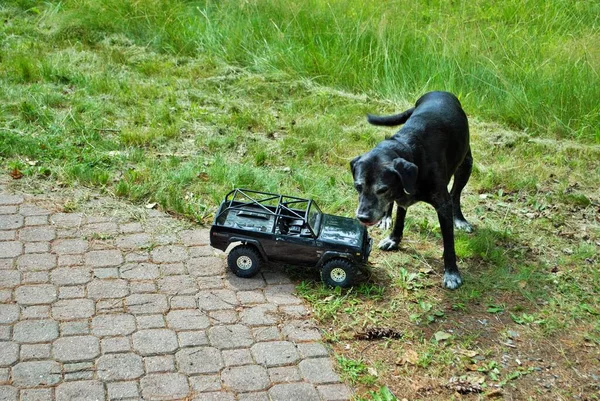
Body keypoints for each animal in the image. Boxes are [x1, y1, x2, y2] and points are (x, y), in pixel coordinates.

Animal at [352, 91, 474, 288]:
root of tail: (439, 91)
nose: (362, 217)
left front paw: (451, 273)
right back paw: (386, 218)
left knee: (456, 194)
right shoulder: (401, 195)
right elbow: (400, 216)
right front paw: (393, 239)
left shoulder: (443, 205)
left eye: (383, 189)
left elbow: (449, 243)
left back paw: (460, 219)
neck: (409, 150)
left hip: (466, 165)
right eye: (358, 186)